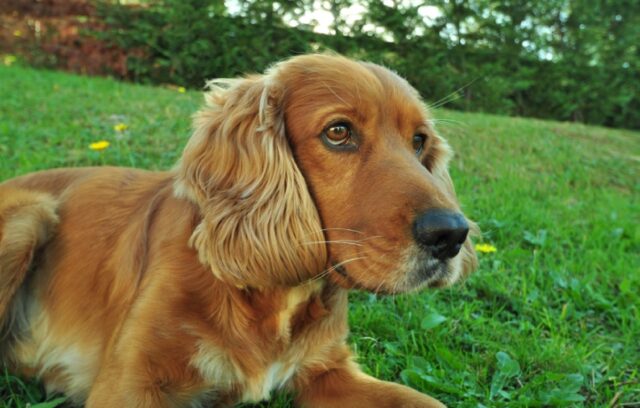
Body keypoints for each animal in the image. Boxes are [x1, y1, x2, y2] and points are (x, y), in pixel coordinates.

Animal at [0, 53, 478, 404]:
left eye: (419, 141)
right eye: (338, 132)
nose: (452, 235)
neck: (274, 297)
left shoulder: (329, 371)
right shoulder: (130, 383)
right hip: (31, 216)